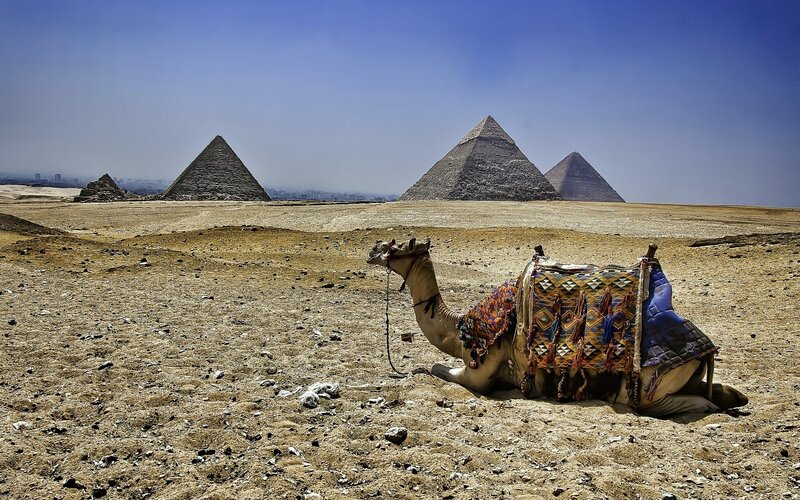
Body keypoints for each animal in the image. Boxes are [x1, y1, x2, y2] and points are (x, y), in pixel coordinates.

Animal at [367, 238, 748, 417]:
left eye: (396, 247)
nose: (372, 251)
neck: (460, 328)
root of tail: (704, 349)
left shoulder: (481, 370)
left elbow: (437, 367)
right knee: (720, 391)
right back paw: (734, 397)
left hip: (645, 389)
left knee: (689, 404)